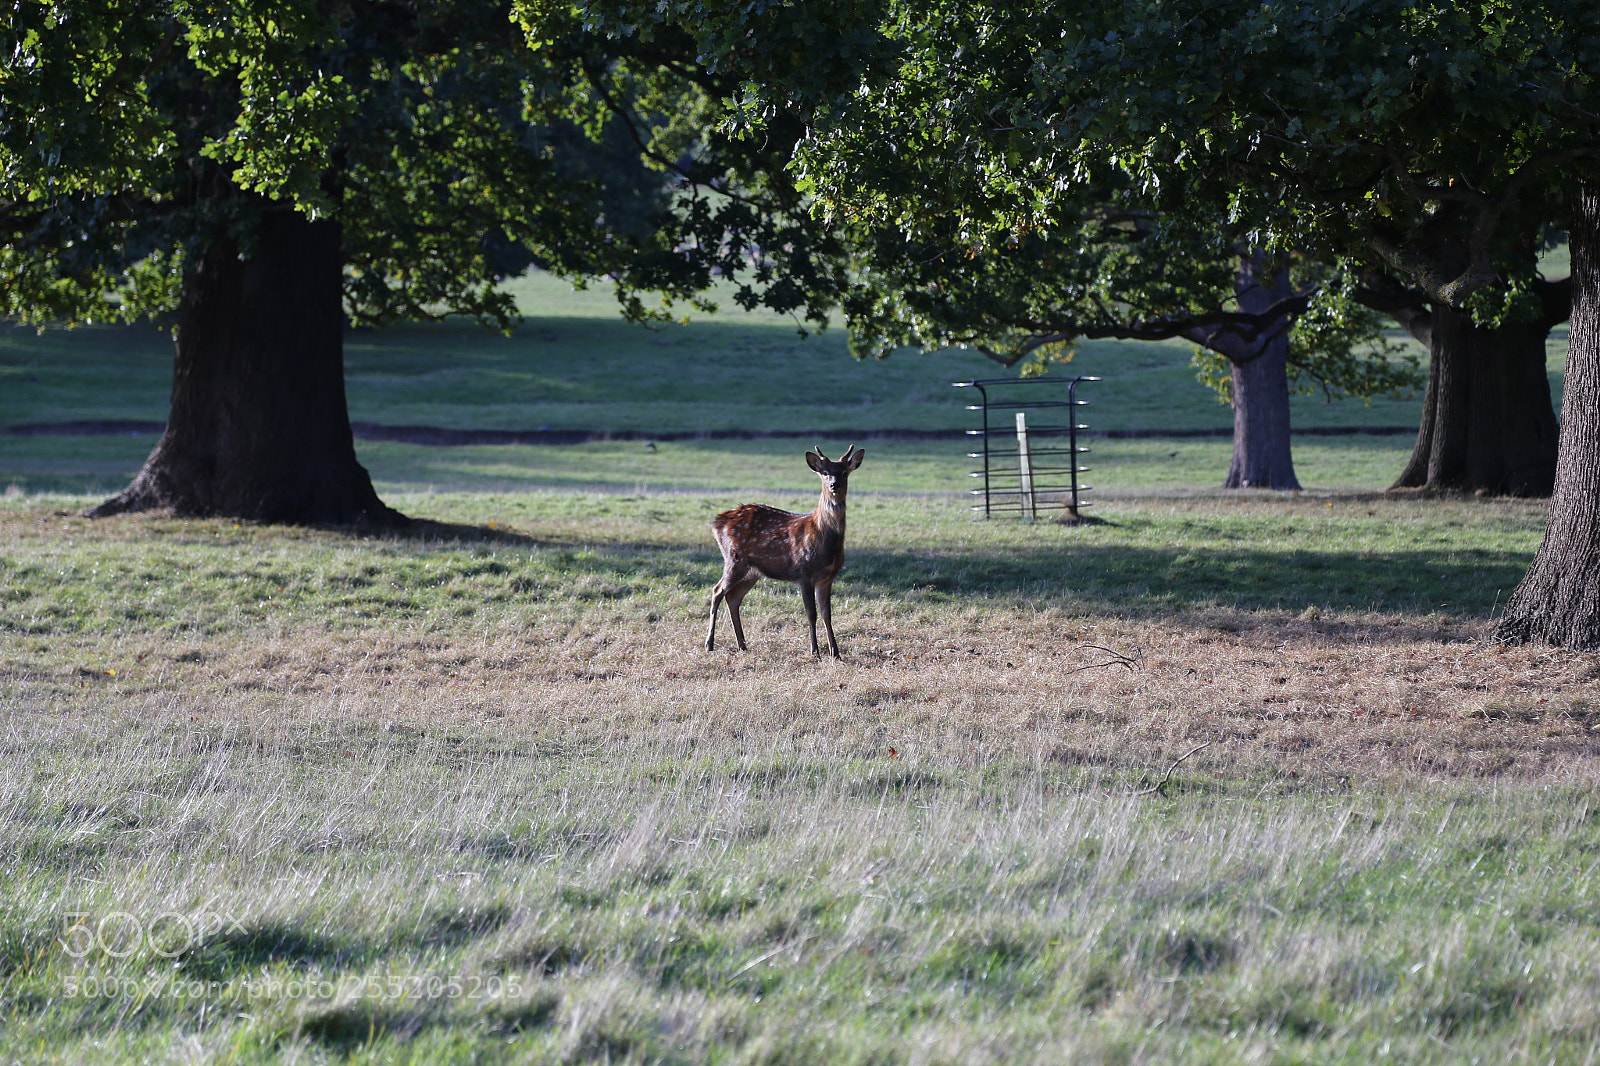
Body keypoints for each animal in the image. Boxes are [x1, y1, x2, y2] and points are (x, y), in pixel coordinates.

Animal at [706, 444, 865, 659]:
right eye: (825, 472)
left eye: (844, 472)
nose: (834, 485)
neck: (824, 540)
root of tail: (717, 521)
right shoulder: (804, 573)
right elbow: (811, 613)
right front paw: (815, 652)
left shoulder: (827, 577)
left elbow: (827, 614)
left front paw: (836, 652)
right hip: (733, 559)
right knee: (717, 591)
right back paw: (709, 644)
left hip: (753, 571)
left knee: (733, 597)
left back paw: (742, 645)